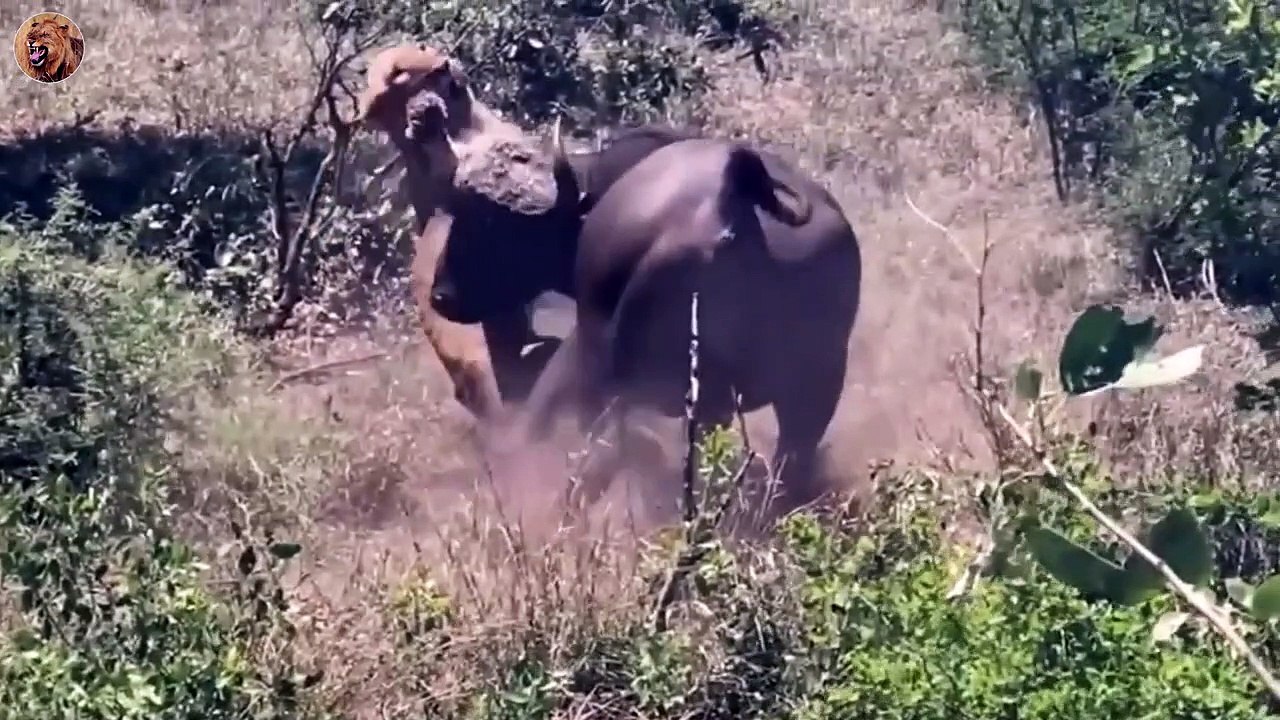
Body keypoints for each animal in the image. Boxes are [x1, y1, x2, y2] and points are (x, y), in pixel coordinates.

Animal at [430, 122, 863, 521]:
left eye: (494, 226)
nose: (441, 295)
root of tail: (729, 196)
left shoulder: (584, 344)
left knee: (602, 449)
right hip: (813, 383)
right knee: (789, 459)